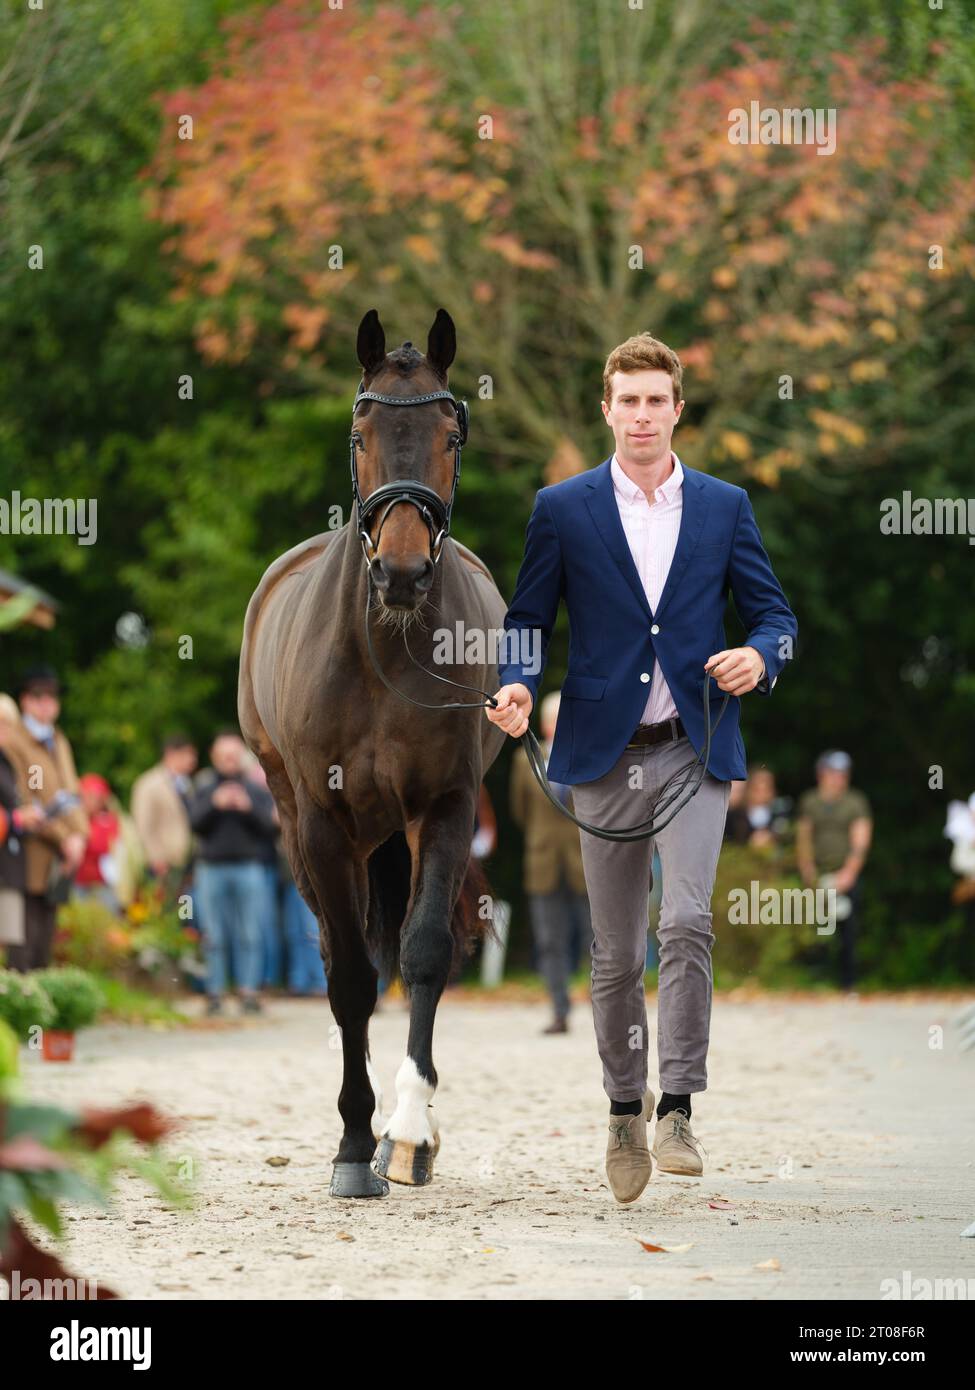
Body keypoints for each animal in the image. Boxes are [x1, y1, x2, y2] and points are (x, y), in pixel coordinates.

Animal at [239, 309, 506, 1200]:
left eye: (450, 434)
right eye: (361, 433)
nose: (400, 570)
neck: (385, 645)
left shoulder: (446, 807)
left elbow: (422, 955)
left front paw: (409, 1133)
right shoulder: (321, 822)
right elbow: (351, 978)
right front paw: (355, 1146)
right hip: (308, 828)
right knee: (335, 953)